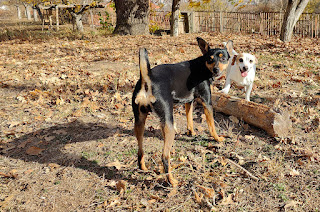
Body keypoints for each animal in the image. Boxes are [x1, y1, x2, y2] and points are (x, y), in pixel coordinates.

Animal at [131, 37, 231, 186]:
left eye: (223, 58)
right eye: (210, 59)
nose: (216, 69)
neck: (202, 66)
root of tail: (147, 79)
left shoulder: (189, 101)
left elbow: (189, 118)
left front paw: (191, 132)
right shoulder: (207, 102)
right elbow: (212, 125)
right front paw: (217, 138)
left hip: (139, 121)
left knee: (140, 149)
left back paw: (143, 167)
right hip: (169, 125)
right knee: (165, 156)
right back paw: (172, 181)